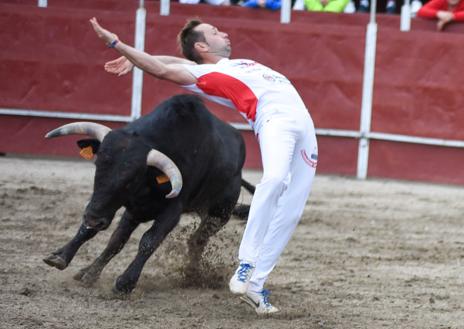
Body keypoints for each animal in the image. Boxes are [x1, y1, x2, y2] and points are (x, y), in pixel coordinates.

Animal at [43, 94, 254, 292]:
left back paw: (192, 274)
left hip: (220, 213)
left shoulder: (172, 211)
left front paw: (125, 283)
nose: (94, 219)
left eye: (132, 178)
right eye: (98, 164)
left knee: (197, 240)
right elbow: (112, 238)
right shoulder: (126, 208)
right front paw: (66, 259)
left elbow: (149, 240)